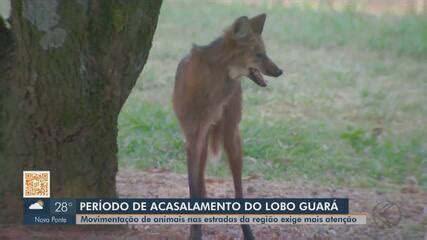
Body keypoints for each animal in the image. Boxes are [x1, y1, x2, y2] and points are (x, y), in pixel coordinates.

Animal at [172, 13, 286, 240]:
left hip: (231, 137)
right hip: (205, 142)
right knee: (202, 183)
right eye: (259, 54)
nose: (280, 71)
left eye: (265, 52)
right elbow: (193, 189)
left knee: (239, 191)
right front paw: (195, 233)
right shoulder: (192, 138)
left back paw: (248, 233)